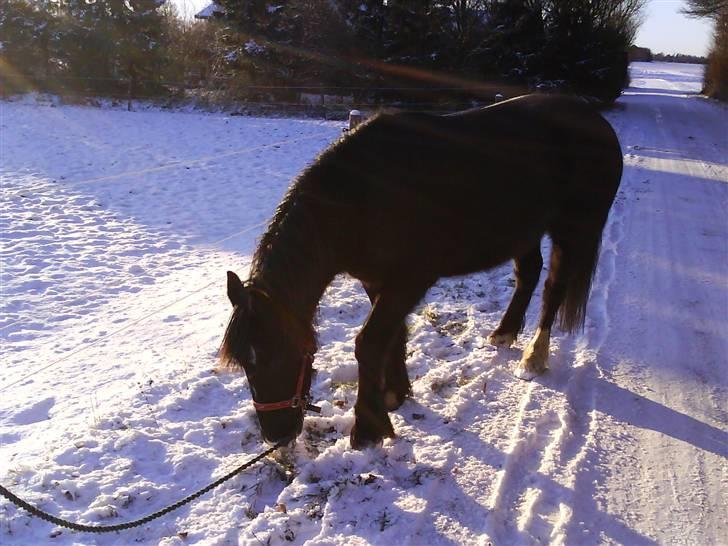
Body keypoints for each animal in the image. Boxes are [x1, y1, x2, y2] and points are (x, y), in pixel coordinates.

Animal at [220, 94, 623, 449]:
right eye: (243, 363)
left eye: (276, 354)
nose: (277, 435)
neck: (362, 196)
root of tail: (596, 121)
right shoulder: (377, 280)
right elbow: (391, 335)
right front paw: (394, 394)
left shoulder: (409, 280)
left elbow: (369, 342)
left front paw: (368, 427)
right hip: (525, 230)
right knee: (529, 274)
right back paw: (504, 334)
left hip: (572, 229)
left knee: (554, 286)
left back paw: (534, 358)